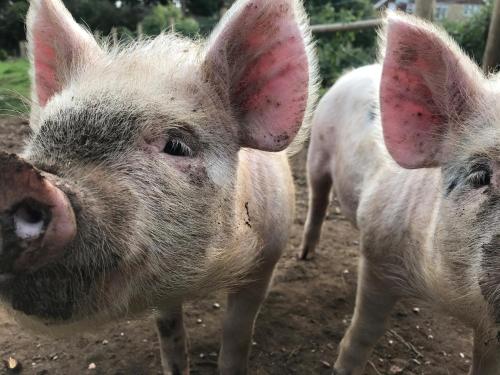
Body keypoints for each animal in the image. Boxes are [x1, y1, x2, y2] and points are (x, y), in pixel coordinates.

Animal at [0, 0, 318, 374]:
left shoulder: (265, 260)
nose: (12, 175)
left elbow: (237, 335)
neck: (204, 279)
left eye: (176, 146)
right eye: (42, 133)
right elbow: (170, 334)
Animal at [300, 11, 500, 375]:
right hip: (317, 149)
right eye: (480, 175)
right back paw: (305, 255)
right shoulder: (381, 254)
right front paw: (342, 368)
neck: (447, 299)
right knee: (318, 196)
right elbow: (365, 331)